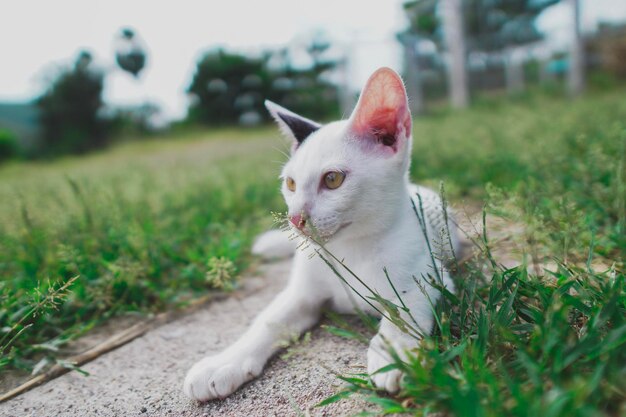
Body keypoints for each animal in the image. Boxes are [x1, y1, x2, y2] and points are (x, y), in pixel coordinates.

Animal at [183, 67, 456, 400]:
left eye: (333, 179)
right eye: (290, 183)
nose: (294, 219)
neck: (348, 249)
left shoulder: (433, 278)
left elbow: (405, 308)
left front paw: (395, 352)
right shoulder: (302, 294)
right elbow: (268, 320)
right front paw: (225, 361)